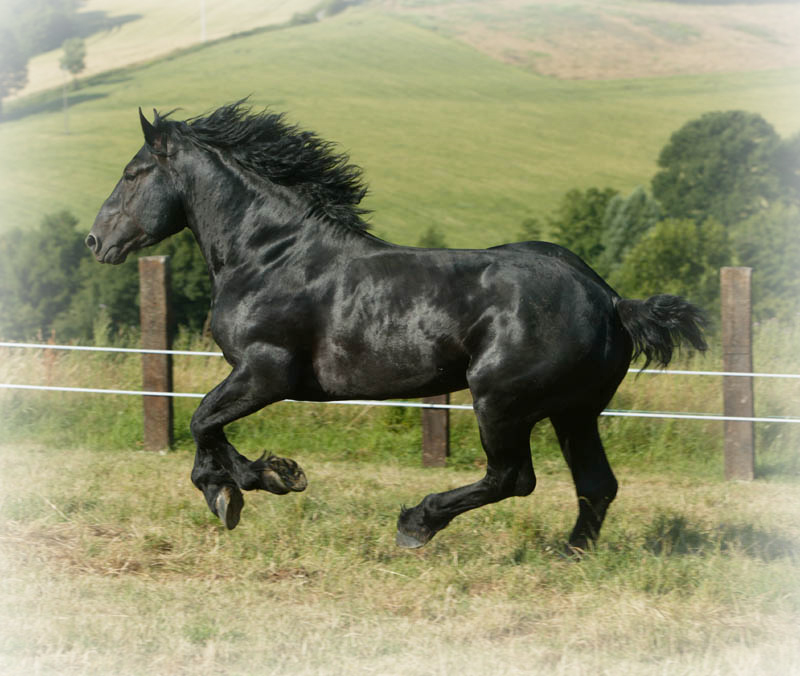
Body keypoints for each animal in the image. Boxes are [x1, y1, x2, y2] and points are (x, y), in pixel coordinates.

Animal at [84, 103, 704, 552]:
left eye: (133, 173)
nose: (95, 241)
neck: (269, 255)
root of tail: (610, 299)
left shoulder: (266, 372)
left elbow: (201, 422)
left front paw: (257, 483)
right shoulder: (256, 377)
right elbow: (206, 428)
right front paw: (246, 485)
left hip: (501, 401)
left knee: (512, 478)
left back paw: (416, 524)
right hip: (573, 411)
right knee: (595, 484)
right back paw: (570, 553)